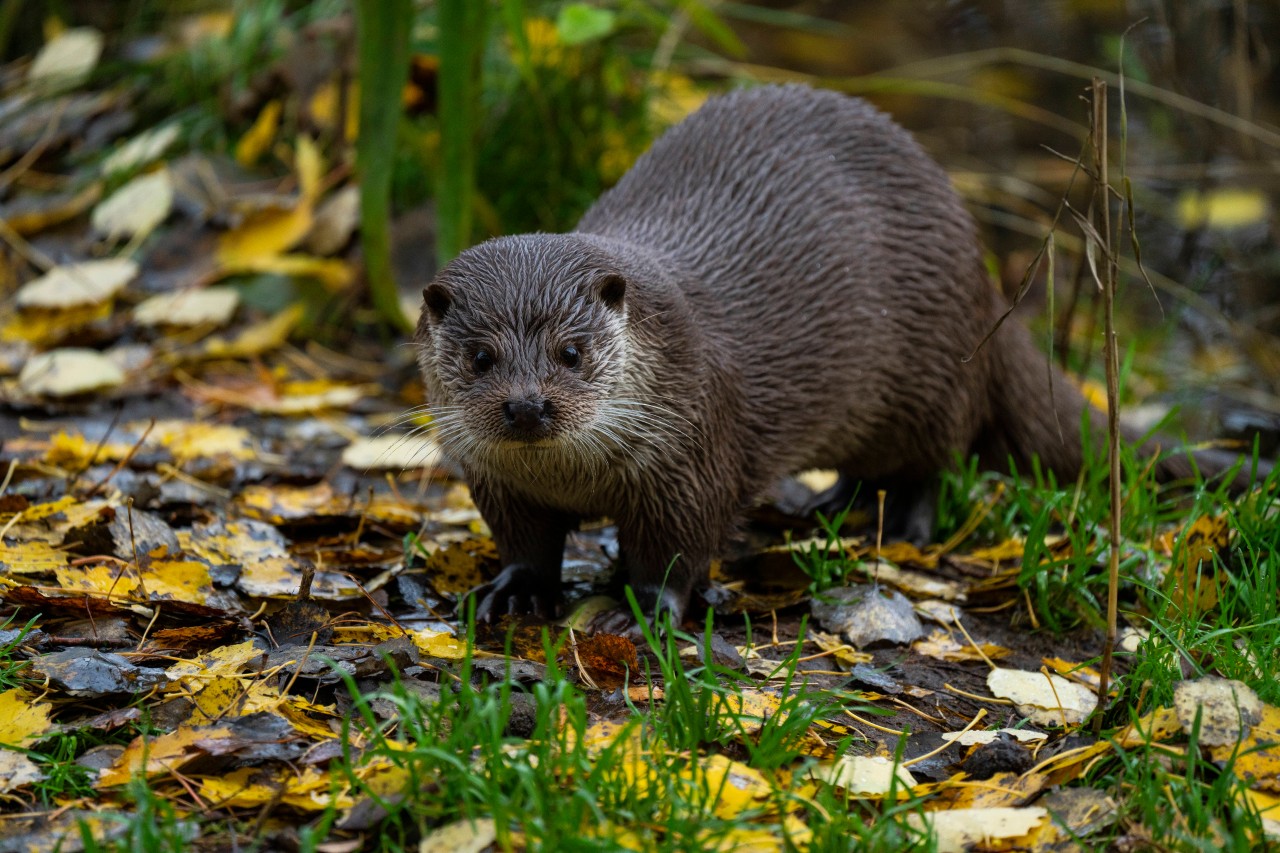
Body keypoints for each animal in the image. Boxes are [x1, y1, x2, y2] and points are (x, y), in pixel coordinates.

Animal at [414, 84, 1264, 630]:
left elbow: (680, 548)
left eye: (571, 349)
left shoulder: (693, 451)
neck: (577, 476)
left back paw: (899, 525)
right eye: (482, 356)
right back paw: (827, 505)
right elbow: (527, 543)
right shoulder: (500, 483)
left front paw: (644, 611)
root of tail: (983, 278)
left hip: (932, 373)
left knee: (940, 458)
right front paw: (514, 592)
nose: (528, 405)